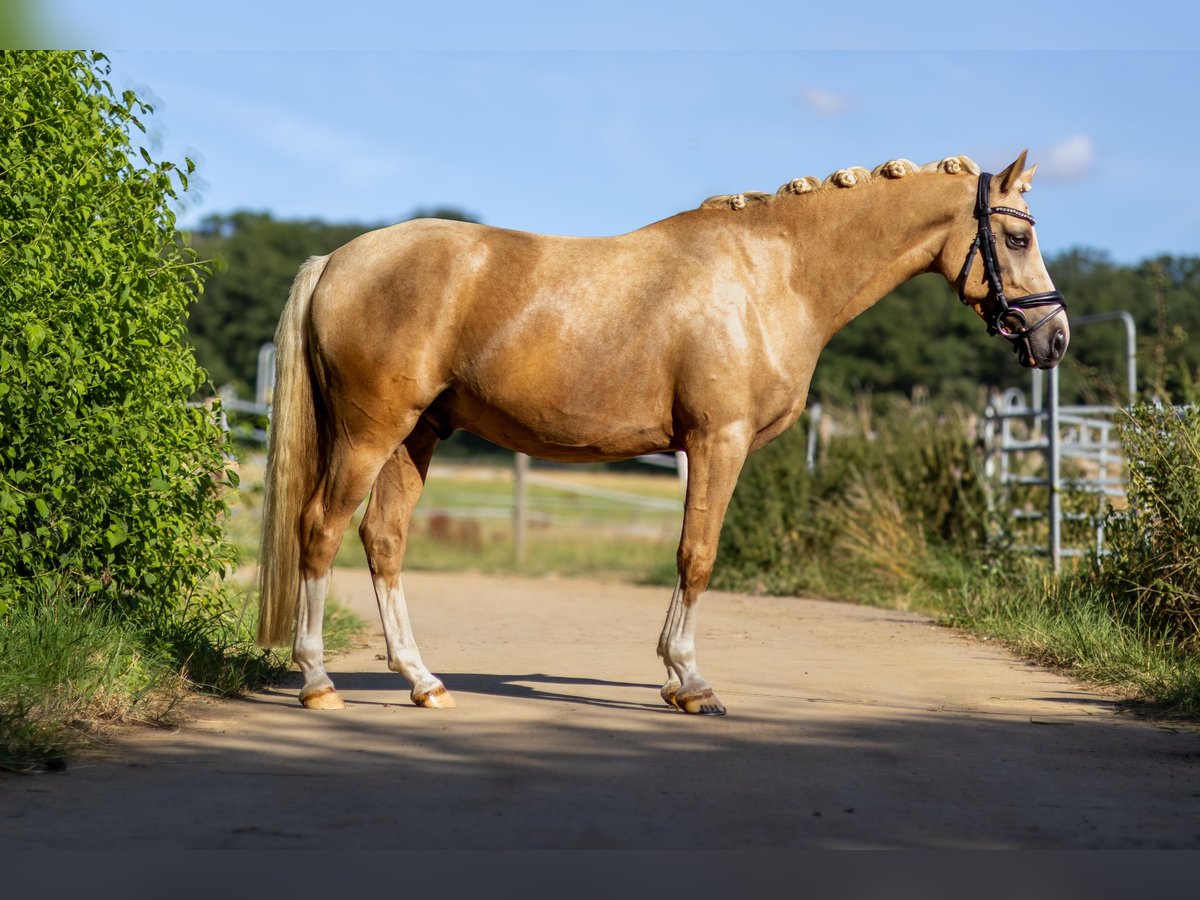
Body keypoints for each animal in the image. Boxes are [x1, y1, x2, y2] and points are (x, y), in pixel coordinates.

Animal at [260, 150, 1070, 720]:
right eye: (1016, 236)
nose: (1054, 336)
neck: (774, 274)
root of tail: (337, 260)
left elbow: (691, 554)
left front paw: (678, 679)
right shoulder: (718, 442)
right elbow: (697, 556)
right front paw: (689, 682)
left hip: (416, 435)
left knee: (384, 539)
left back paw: (423, 682)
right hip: (371, 432)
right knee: (321, 528)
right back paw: (319, 681)